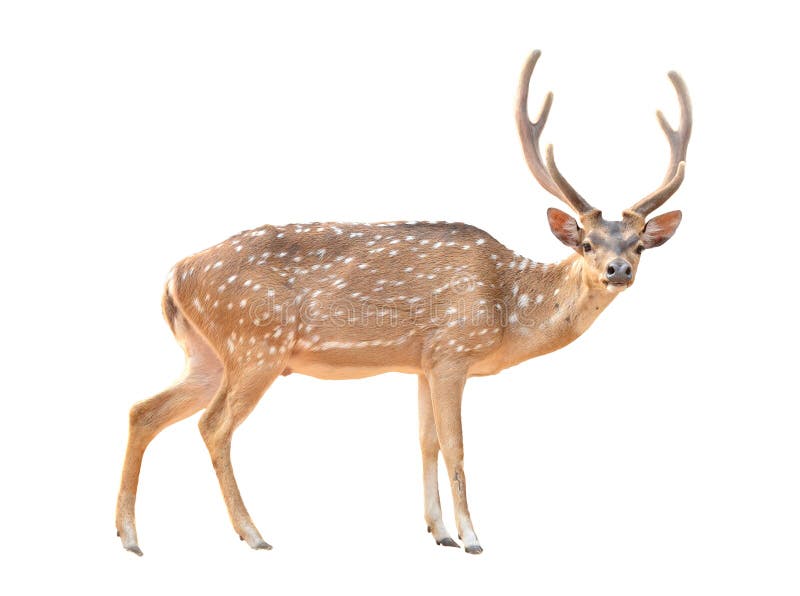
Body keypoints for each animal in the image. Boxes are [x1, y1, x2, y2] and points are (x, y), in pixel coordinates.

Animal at [116, 49, 691, 556]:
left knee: (144, 409)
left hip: (208, 353)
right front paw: (472, 538)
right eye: (587, 243)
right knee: (212, 425)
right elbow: (457, 445)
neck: (508, 308)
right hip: (256, 344)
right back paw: (253, 534)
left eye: (639, 244)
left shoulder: (421, 362)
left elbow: (425, 442)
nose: (618, 270)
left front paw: (439, 532)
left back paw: (129, 536)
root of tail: (174, 276)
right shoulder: (454, 351)